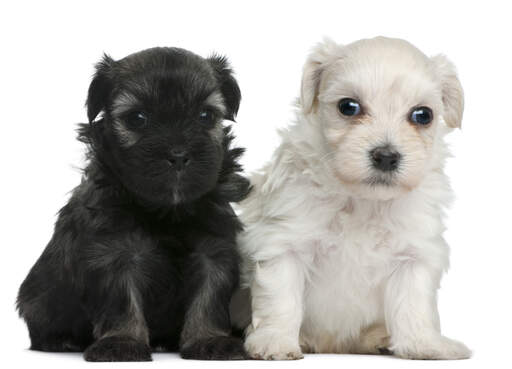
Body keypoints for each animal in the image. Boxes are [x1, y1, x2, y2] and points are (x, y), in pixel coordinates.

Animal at [19, 47, 251, 360]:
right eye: (137, 118)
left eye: (205, 116)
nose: (178, 155)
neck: (166, 210)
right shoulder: (114, 254)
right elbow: (122, 302)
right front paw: (122, 342)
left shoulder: (214, 252)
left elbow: (209, 297)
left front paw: (210, 339)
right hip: (39, 299)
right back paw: (61, 341)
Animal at [234, 37, 470, 360]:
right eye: (349, 107)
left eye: (423, 115)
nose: (386, 156)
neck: (363, 200)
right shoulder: (284, 243)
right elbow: (281, 299)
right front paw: (276, 341)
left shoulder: (414, 255)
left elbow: (414, 306)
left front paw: (425, 345)